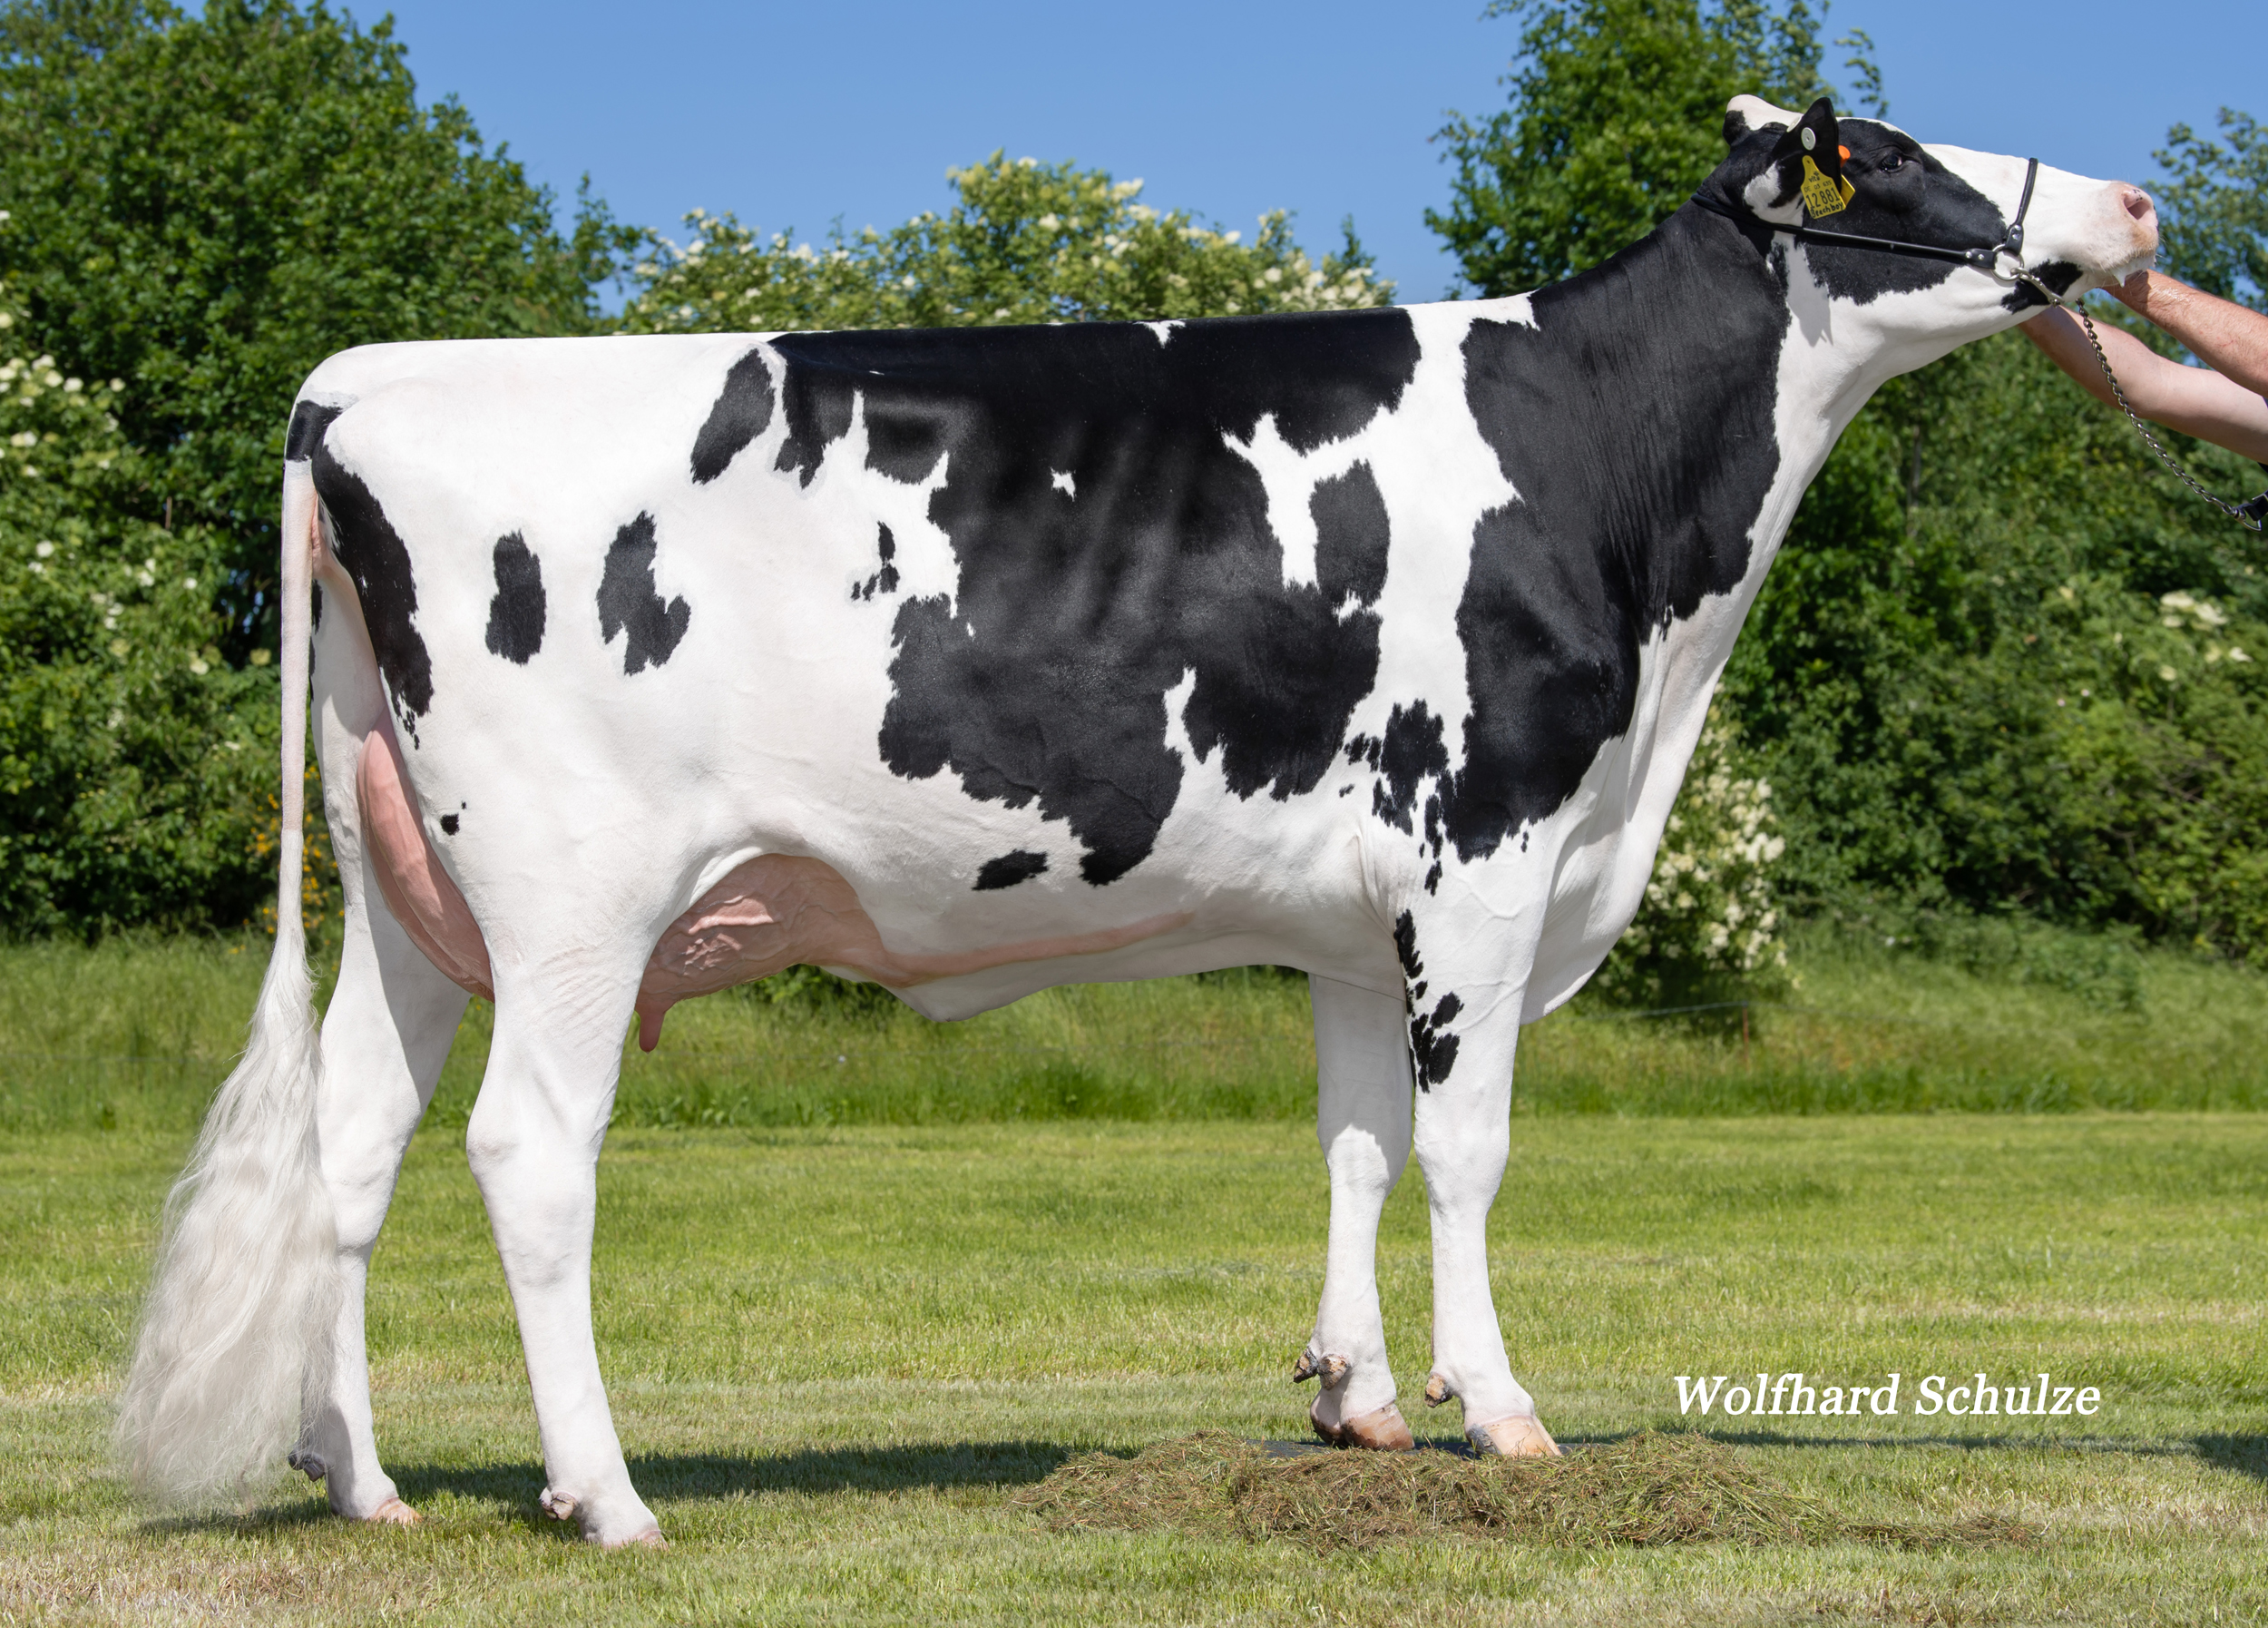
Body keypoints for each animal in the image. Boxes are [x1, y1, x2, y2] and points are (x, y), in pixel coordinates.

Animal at [116, 96, 2157, 1546]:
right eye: (1891, 150)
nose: (2133, 207)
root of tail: (364, 378)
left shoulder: (1360, 912)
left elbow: (1353, 1144)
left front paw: (1351, 1399)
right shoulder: (1485, 851)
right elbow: (1464, 1151)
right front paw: (1498, 1411)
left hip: (407, 887)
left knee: (356, 1150)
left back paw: (366, 1480)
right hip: (567, 896)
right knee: (528, 1156)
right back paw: (605, 1498)